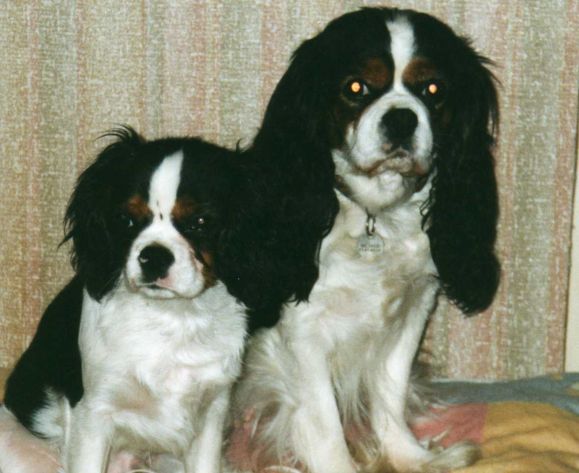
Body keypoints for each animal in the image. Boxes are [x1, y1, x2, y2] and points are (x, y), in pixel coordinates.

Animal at [3, 127, 249, 470]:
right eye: (127, 219)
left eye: (200, 222)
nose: (154, 256)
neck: (170, 316)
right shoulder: (92, 413)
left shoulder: (212, 410)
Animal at [229, 7, 500, 472]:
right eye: (355, 87)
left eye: (433, 89)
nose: (402, 117)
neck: (374, 215)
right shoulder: (303, 332)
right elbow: (323, 421)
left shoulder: (412, 313)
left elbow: (389, 391)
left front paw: (410, 456)